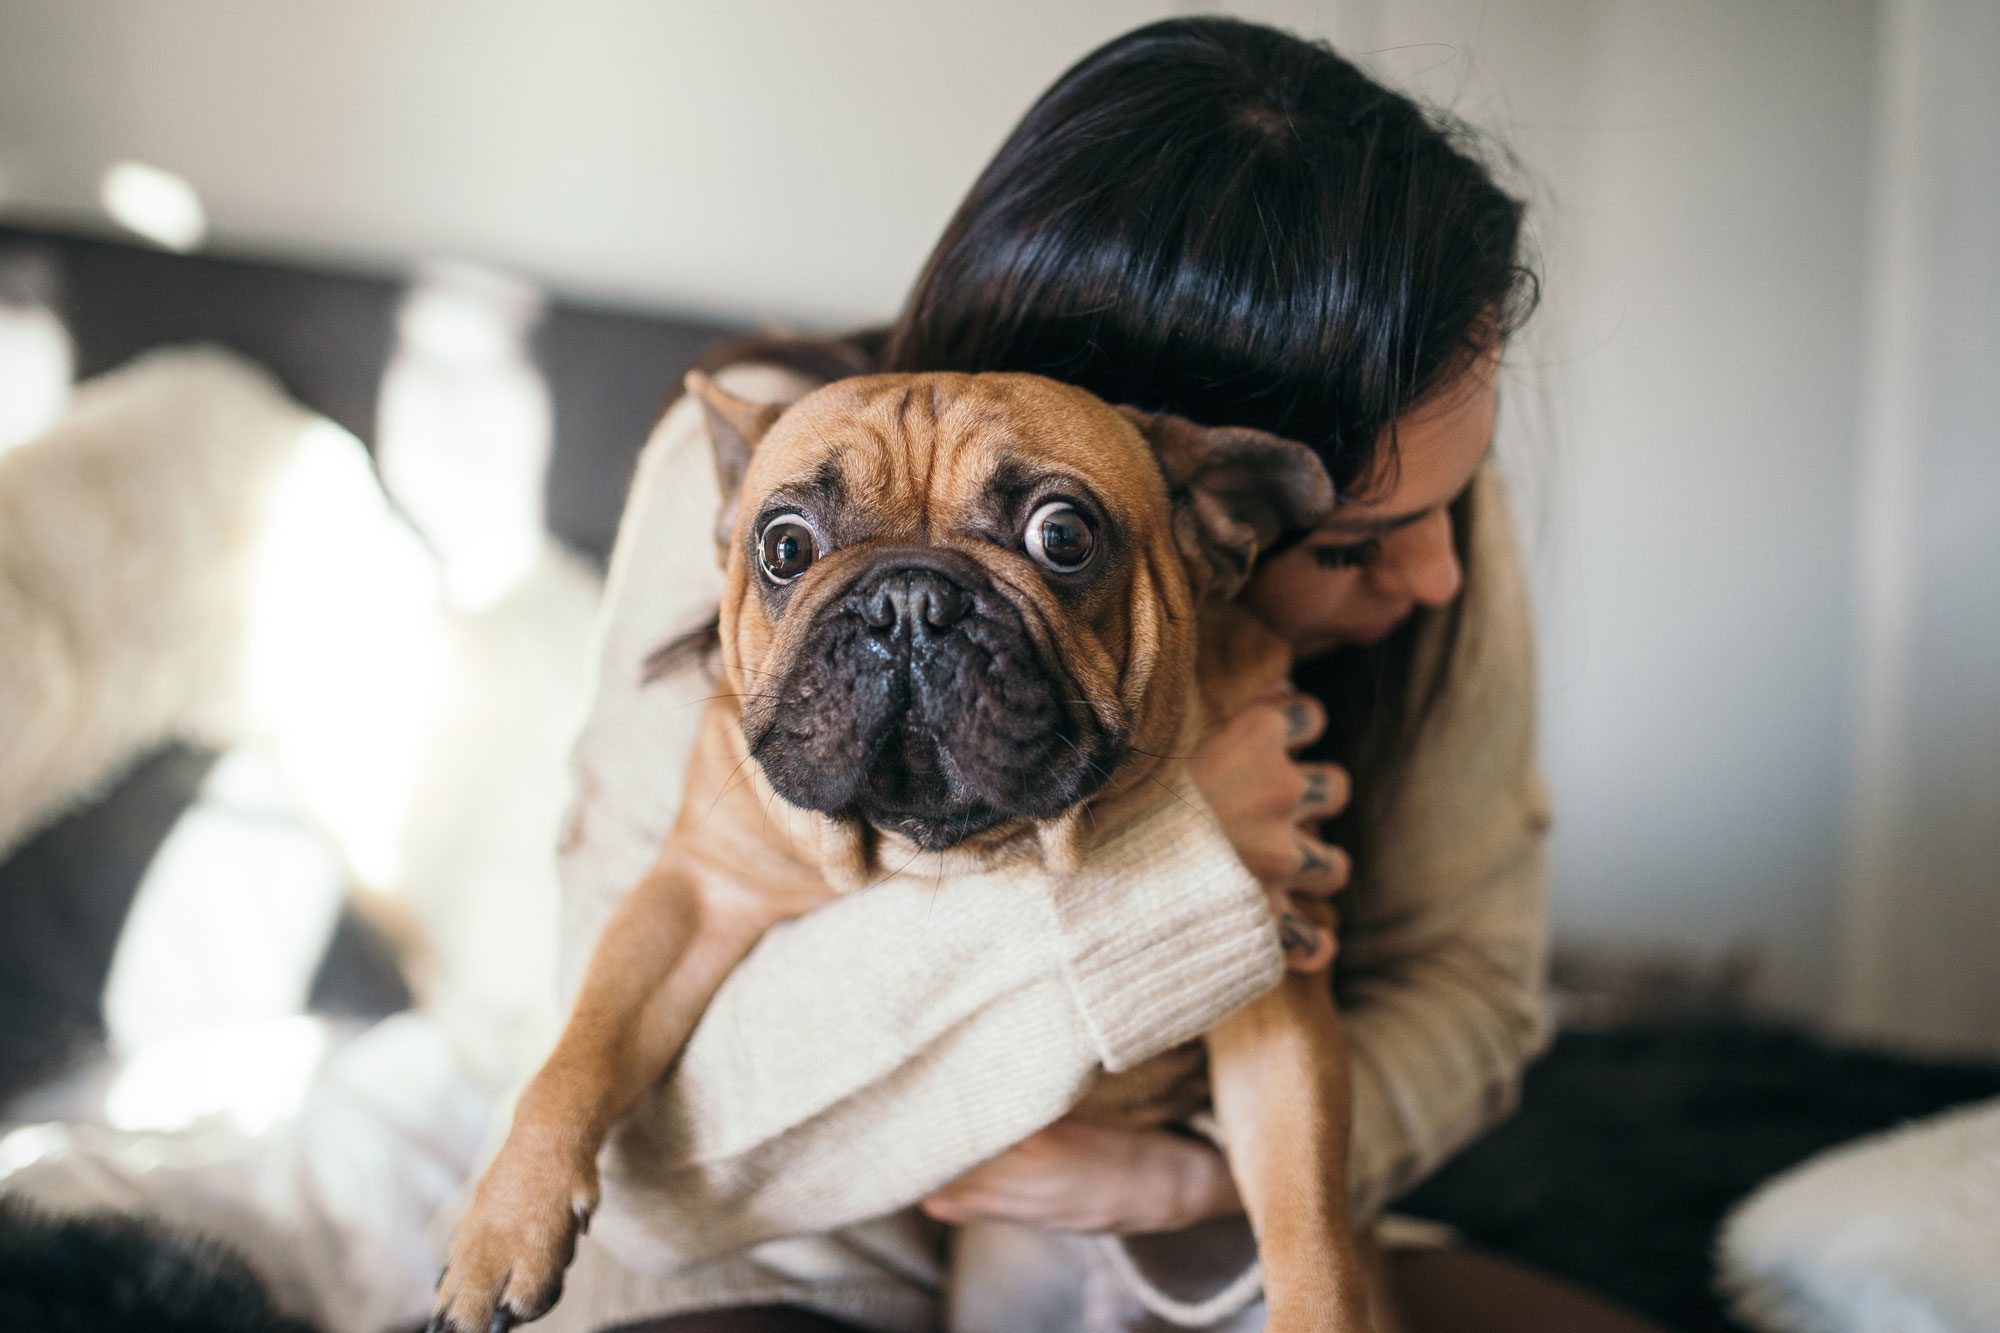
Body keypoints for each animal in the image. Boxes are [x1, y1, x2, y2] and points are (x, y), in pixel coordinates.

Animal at [434, 366, 1376, 1328]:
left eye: (1063, 535)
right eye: (783, 546)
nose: (910, 603)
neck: (939, 850)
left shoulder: (1272, 991)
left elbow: (1306, 1209)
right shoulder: (693, 897)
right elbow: (582, 1046)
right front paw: (504, 1226)